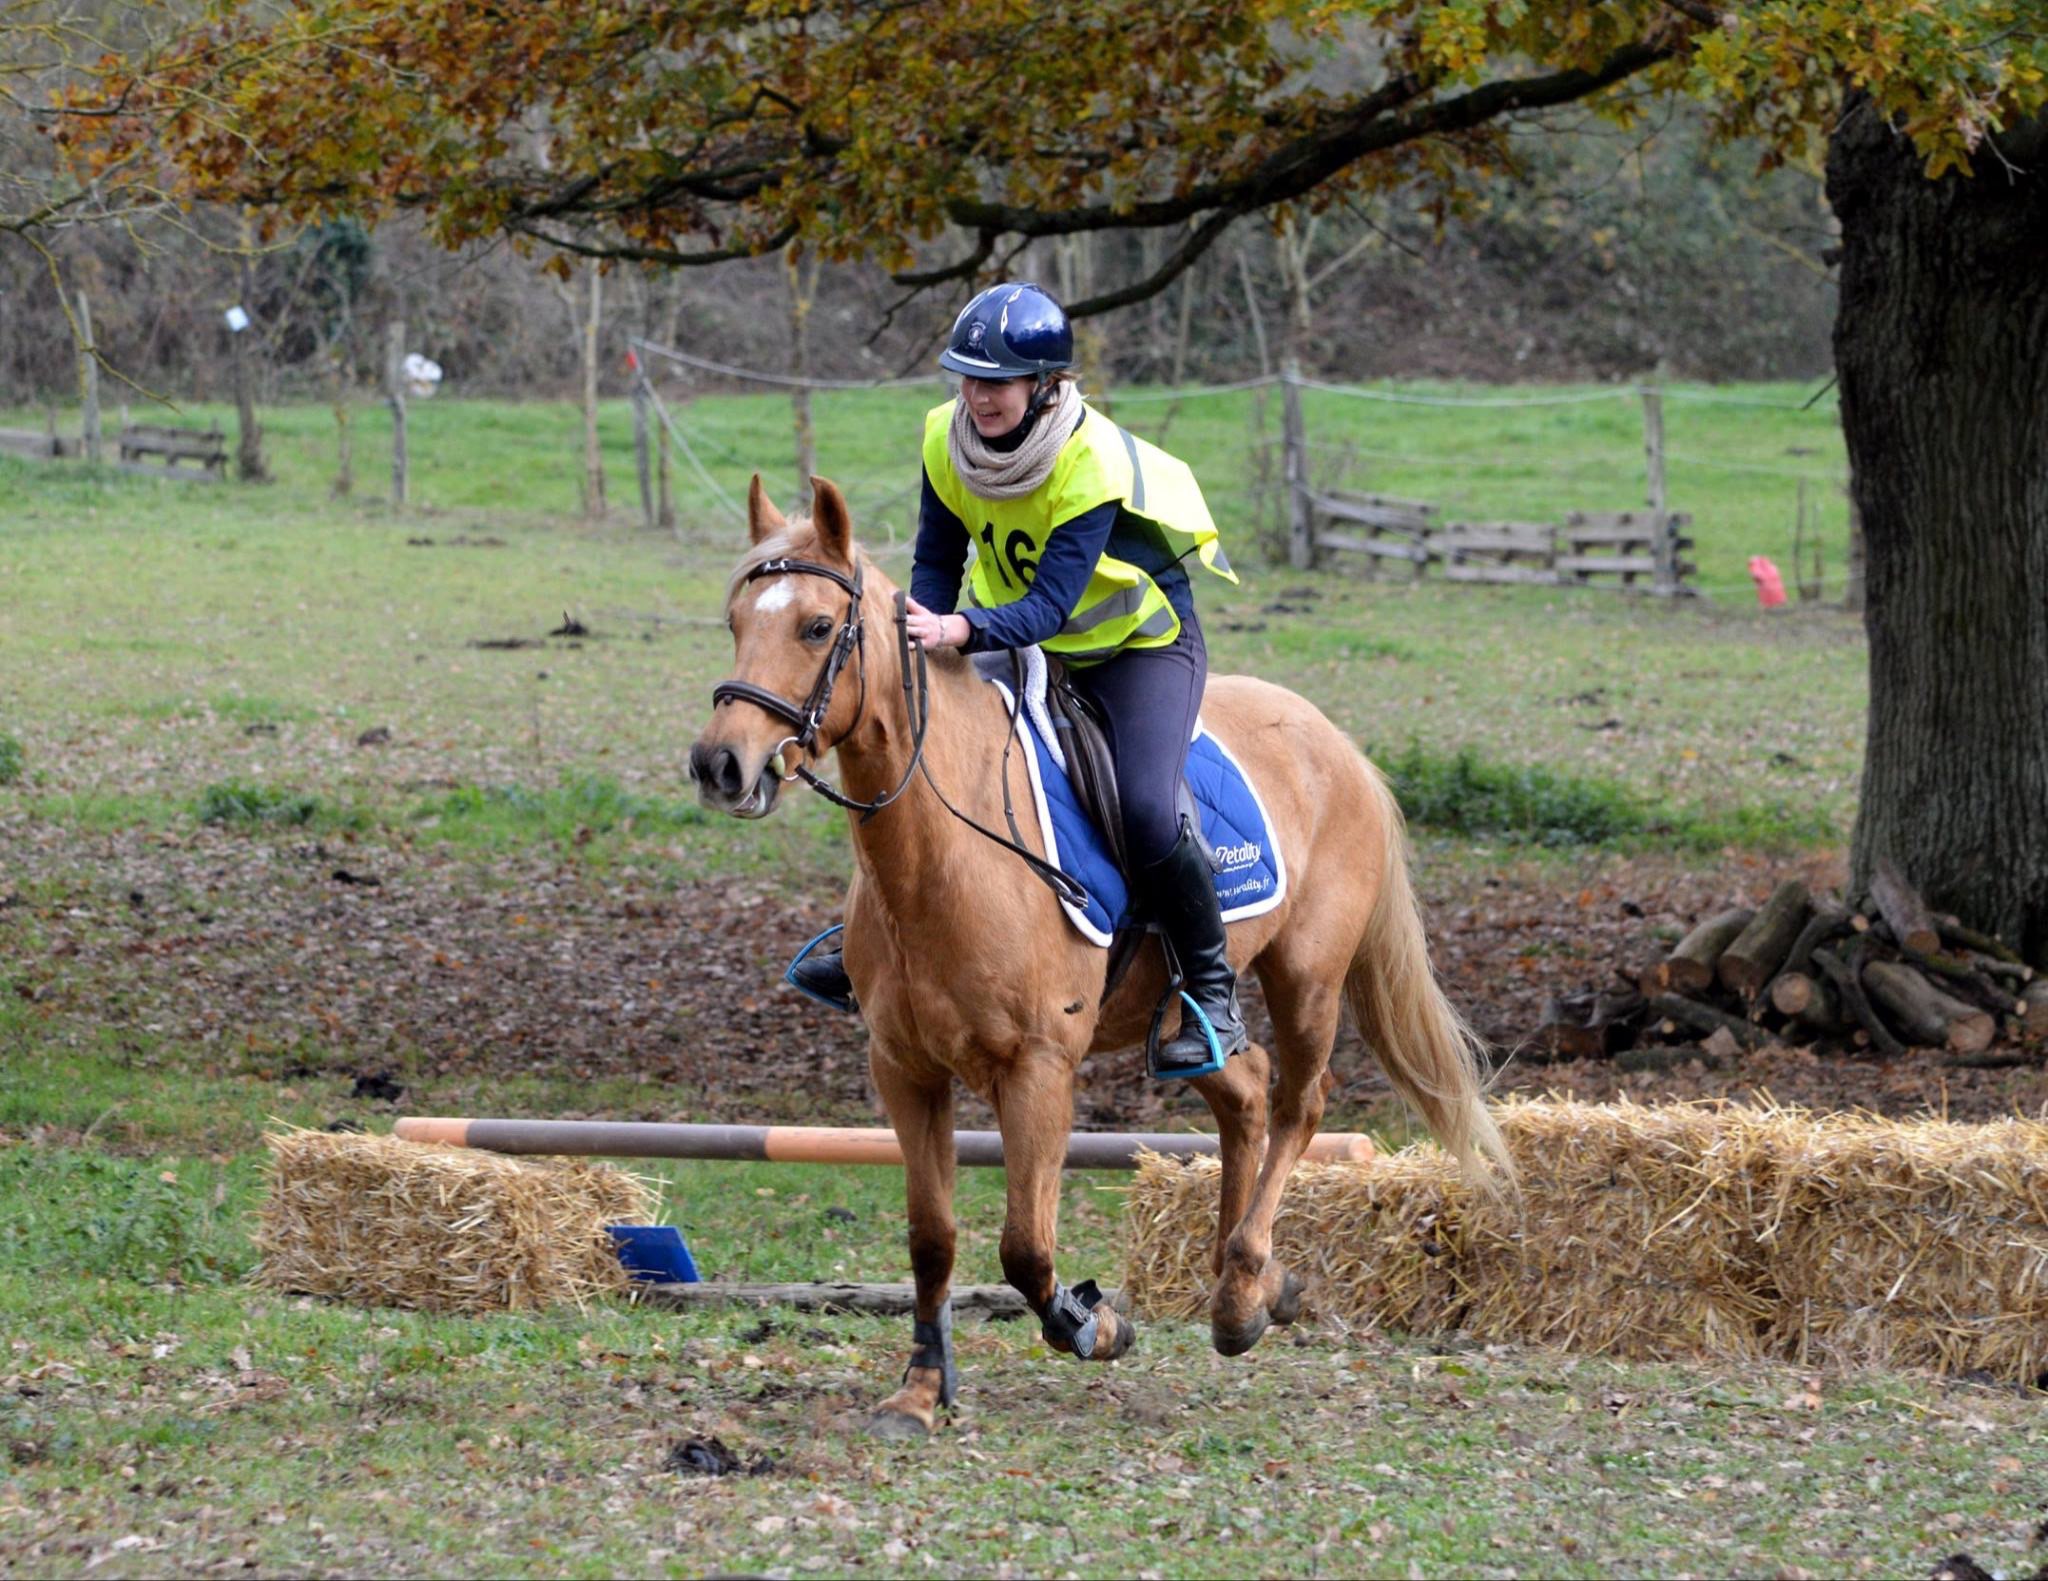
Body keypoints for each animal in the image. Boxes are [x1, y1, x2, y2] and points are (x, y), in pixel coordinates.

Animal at [696, 475, 1515, 1441]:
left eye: (818, 627)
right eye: (735, 618)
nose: (720, 765)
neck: (941, 857)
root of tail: (1336, 742)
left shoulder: (1039, 1068)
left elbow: (1025, 1245)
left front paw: (1094, 1324)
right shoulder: (904, 1067)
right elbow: (932, 1238)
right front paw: (921, 1390)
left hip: (1308, 975)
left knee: (1297, 1104)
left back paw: (1243, 1286)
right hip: (1184, 1012)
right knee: (1244, 1089)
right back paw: (1251, 1283)